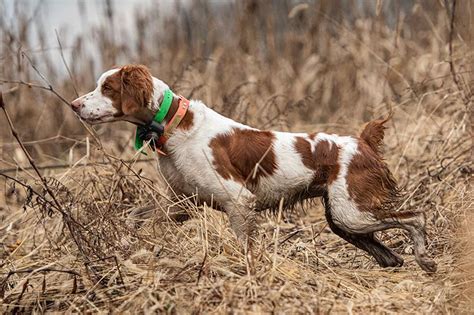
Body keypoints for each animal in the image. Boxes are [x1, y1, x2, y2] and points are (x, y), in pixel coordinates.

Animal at [70, 63, 436, 272]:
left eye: (107, 88)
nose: (74, 105)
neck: (172, 125)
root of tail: (363, 141)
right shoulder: (180, 204)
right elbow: (135, 216)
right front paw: (124, 245)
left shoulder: (239, 202)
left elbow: (245, 247)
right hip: (343, 218)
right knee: (390, 255)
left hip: (352, 212)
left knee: (416, 216)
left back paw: (425, 258)